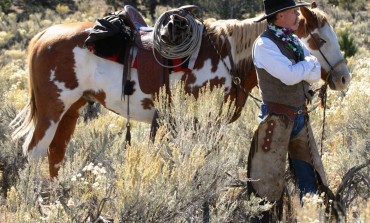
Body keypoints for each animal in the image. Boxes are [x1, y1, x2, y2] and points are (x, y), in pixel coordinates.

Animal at [10, 4, 350, 178]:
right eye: (320, 40)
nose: (344, 78)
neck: (227, 54)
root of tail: (43, 35)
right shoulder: (201, 121)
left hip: (73, 108)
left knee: (56, 153)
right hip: (53, 109)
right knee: (35, 151)